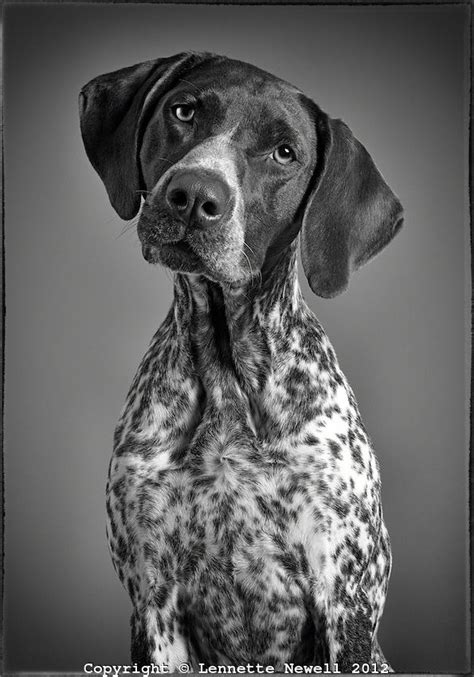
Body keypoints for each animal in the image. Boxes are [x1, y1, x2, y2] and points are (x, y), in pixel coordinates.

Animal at [79, 51, 402, 672]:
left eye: (285, 153)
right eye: (184, 111)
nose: (192, 195)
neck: (227, 367)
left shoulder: (344, 601)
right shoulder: (153, 602)